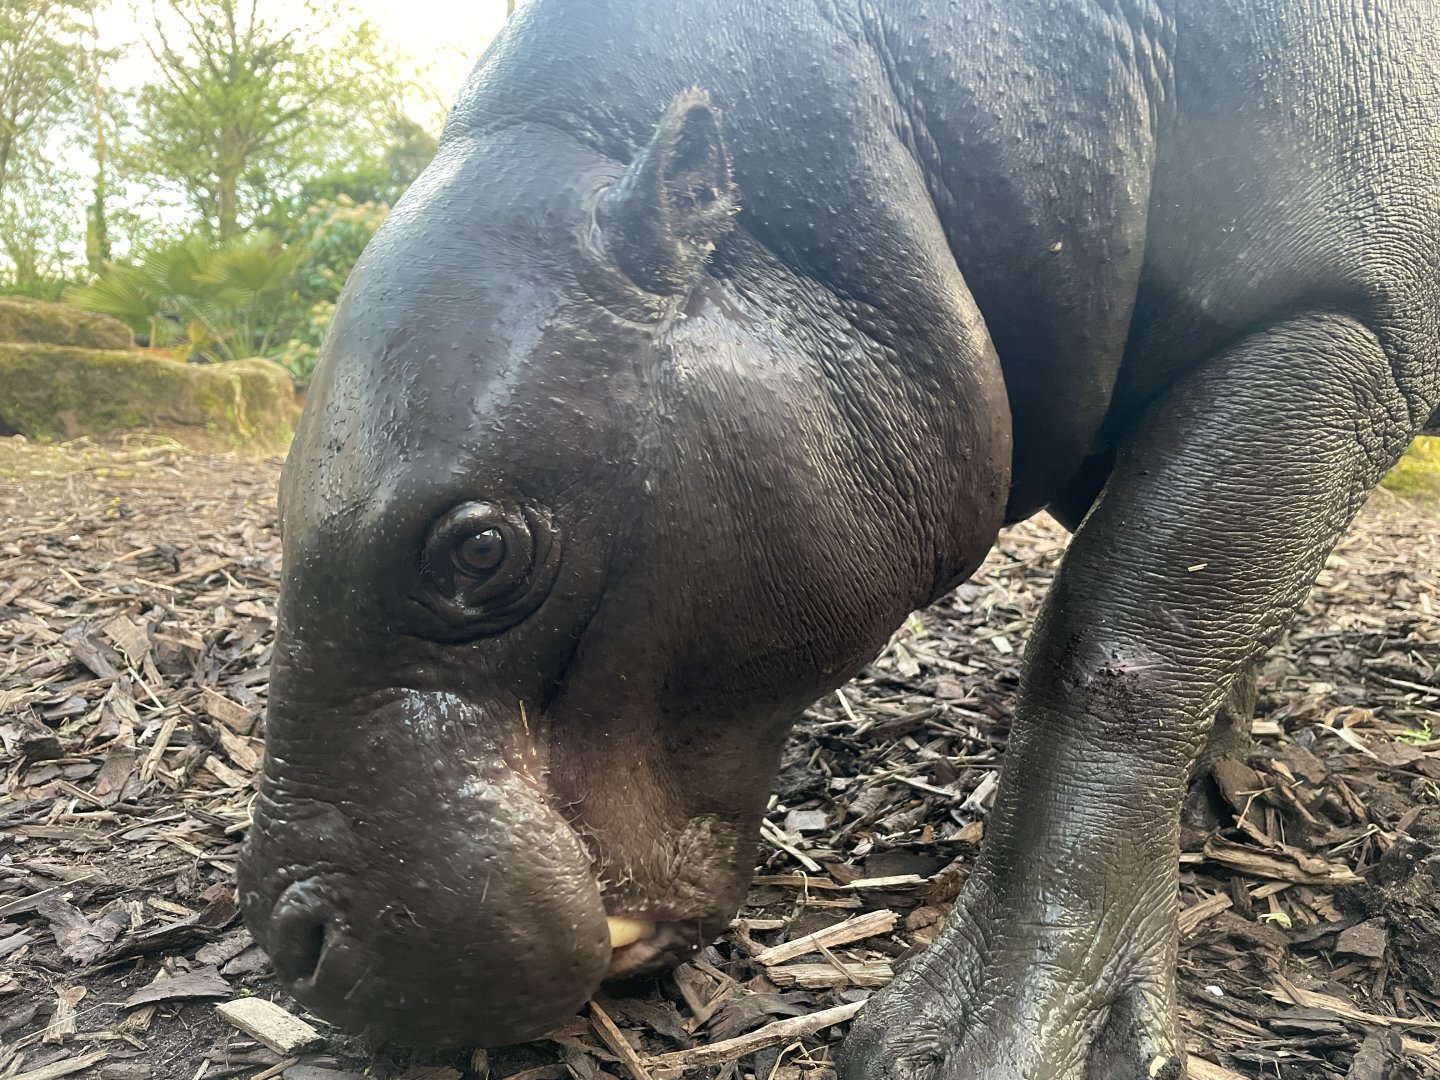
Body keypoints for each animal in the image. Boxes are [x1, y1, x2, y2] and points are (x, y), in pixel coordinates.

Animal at [238, 0, 1440, 1076]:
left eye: (479, 552)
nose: (287, 939)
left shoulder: (1340, 323)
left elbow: (1119, 639)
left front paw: (978, 1046)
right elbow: (1213, 598)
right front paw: (1209, 790)